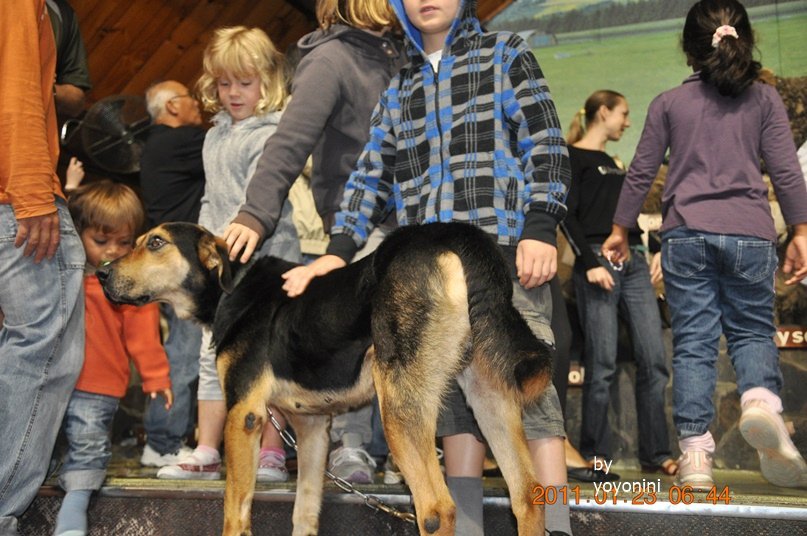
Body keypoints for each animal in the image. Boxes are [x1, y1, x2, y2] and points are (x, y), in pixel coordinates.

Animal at [98, 220, 556, 532]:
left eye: (156, 243)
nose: (101, 273)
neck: (231, 285)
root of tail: (454, 235)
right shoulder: (313, 427)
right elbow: (304, 512)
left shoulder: (244, 414)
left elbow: (235, 509)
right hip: (489, 397)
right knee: (526, 497)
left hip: (399, 405)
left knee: (436, 510)